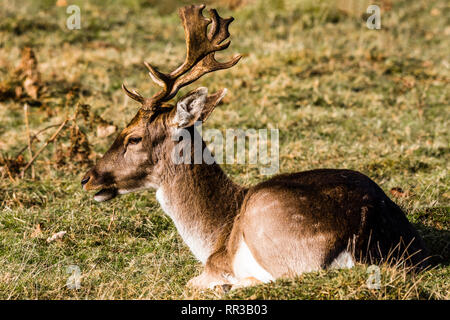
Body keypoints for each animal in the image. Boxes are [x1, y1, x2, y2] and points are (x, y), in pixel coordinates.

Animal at [81, 4, 428, 290]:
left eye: (133, 137)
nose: (87, 178)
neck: (213, 234)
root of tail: (364, 227)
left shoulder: (216, 263)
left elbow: (193, 282)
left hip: (273, 231)